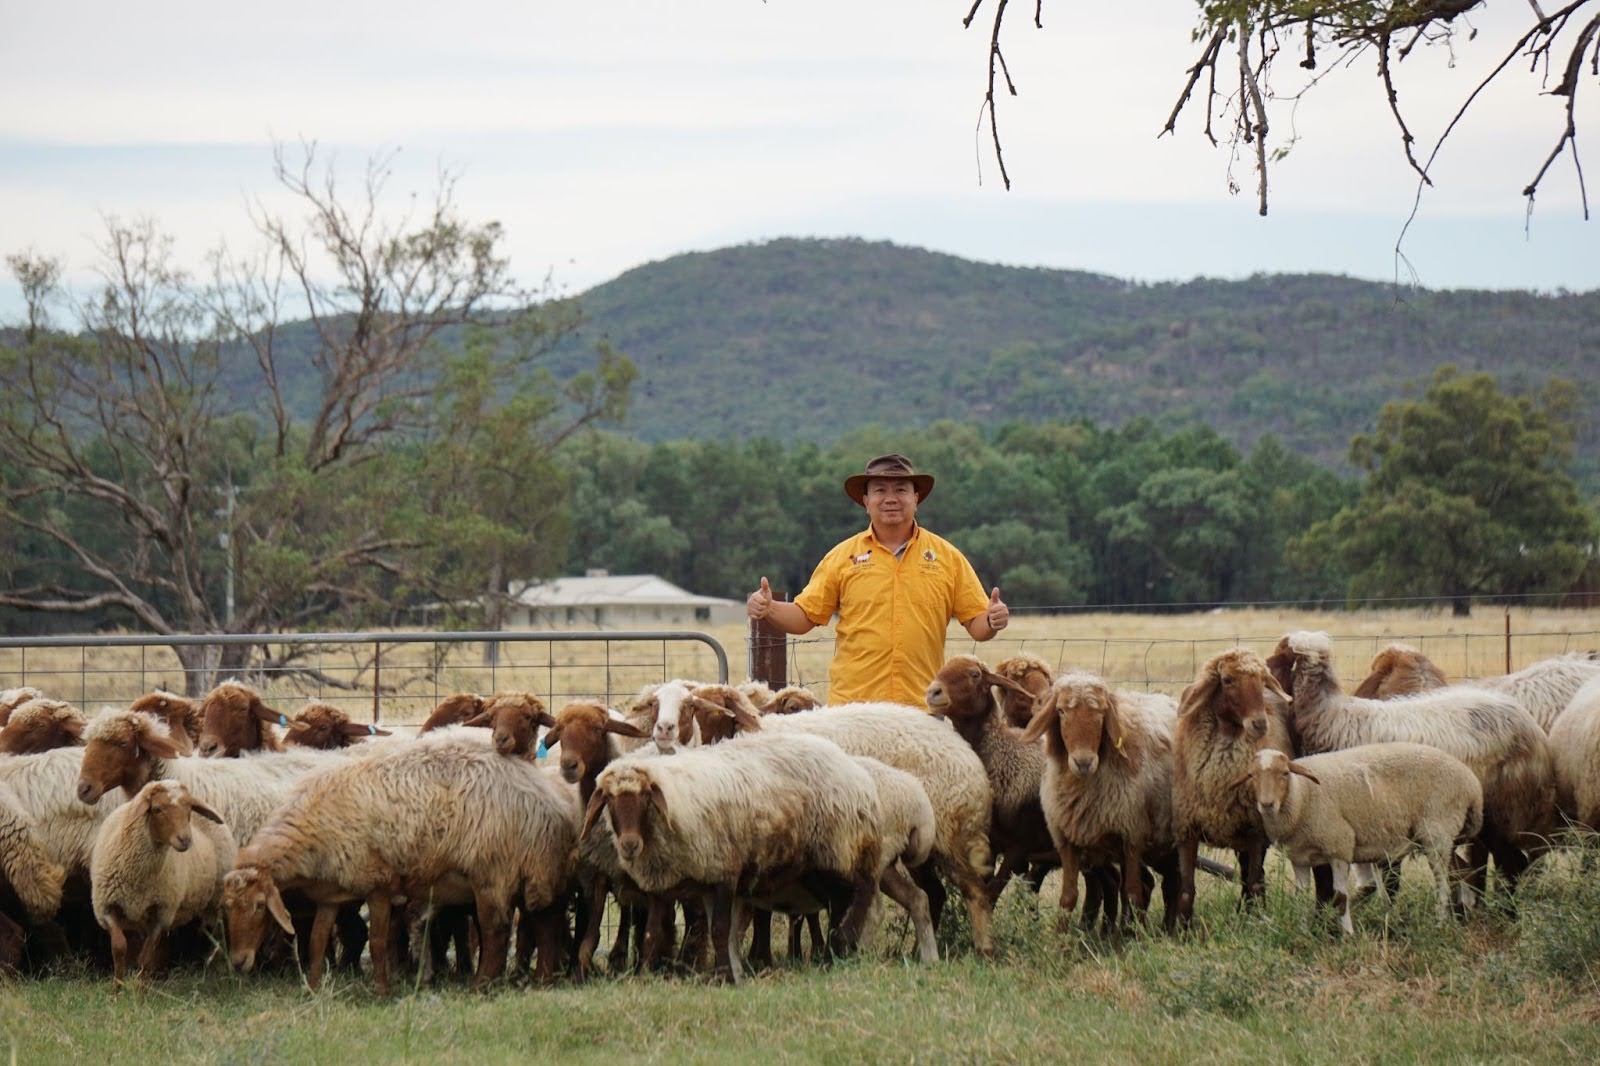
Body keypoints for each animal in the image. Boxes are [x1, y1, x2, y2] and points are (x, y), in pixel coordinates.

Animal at [88, 777, 233, 985]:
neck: (138, 878)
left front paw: (140, 989)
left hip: (217, 901)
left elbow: (146, 957)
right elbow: (119, 949)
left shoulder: (161, 914)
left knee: (219, 936)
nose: (185, 840)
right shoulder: (107, 908)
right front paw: (118, 989)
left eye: (189, 808)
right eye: (156, 809)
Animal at [222, 726, 579, 992]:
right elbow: (317, 942)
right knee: (547, 920)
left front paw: (382, 990)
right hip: (538, 869)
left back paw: (481, 985)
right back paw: (544, 979)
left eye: (259, 906)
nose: (237, 963)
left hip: (493, 871)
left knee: (497, 930)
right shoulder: (330, 896)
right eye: (227, 908)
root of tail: (551, 801)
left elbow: (379, 941)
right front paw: (312, 987)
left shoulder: (380, 885)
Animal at [1017, 672, 1184, 928]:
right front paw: (1060, 937)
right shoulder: (1067, 839)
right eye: (1061, 711)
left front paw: (1135, 936)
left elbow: (1133, 892)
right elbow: (1068, 897)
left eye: (1101, 713)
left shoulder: (1133, 836)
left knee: (1171, 881)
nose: (1083, 762)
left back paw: (1169, 929)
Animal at [1235, 742, 1484, 934]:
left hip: (1437, 831)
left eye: (1285, 774)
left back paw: (1440, 922)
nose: (1267, 804)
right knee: (1463, 871)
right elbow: (1301, 898)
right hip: (1443, 837)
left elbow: (1340, 898)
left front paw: (1347, 935)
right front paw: (1302, 931)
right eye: (1252, 776)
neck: (1302, 795)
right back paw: (1463, 913)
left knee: (1443, 882)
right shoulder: (1300, 858)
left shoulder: (1339, 847)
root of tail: (1472, 784)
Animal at [1273, 627, 1548, 889]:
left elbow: (1388, 879)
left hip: (1501, 806)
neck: (1332, 717)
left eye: (1282, 658)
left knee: (1512, 864)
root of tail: (1532, 728)